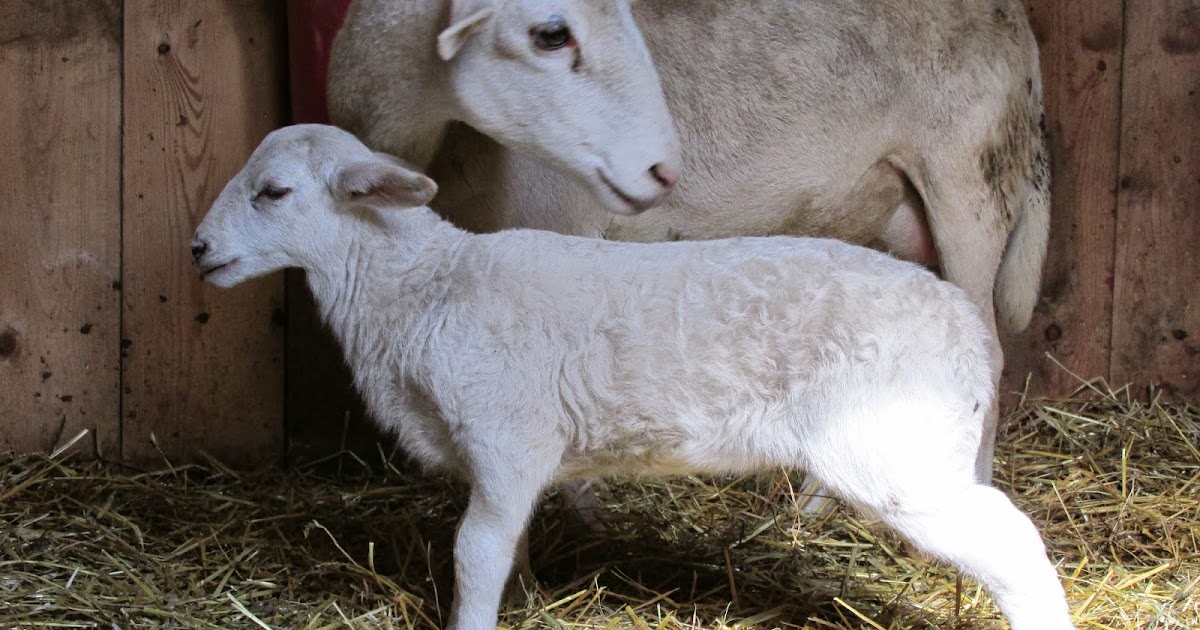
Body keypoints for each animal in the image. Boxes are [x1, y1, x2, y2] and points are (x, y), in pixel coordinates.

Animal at [192, 124, 1073, 630]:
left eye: (273, 192)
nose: (199, 249)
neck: (425, 288)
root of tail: (966, 325)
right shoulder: (510, 460)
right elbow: (506, 548)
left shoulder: (508, 439)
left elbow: (474, 553)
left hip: (898, 450)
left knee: (1017, 547)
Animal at [328, 0, 1052, 483]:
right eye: (552, 35)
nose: (660, 165)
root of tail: (1019, 24)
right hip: (902, 210)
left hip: (970, 178)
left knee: (987, 351)